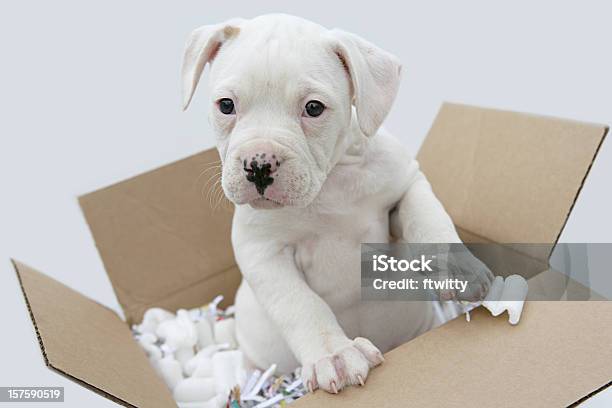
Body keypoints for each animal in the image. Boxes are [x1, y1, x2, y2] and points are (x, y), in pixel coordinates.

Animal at [180, 14, 488, 394]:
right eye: (226, 105)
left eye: (313, 108)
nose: (258, 165)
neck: (328, 185)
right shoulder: (262, 253)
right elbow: (301, 304)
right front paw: (336, 354)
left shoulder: (406, 186)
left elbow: (430, 220)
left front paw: (459, 269)